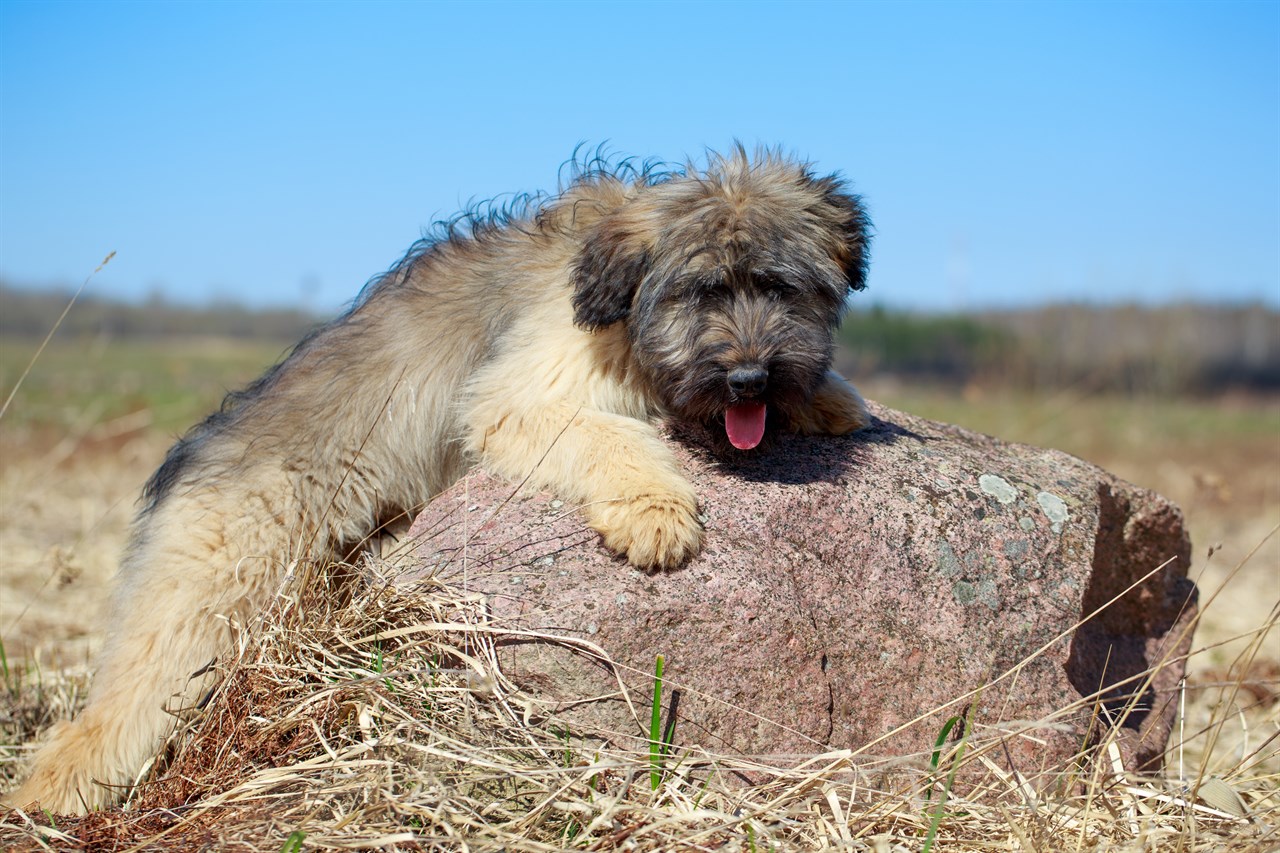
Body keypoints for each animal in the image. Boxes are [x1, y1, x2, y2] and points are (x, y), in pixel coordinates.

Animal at [5, 146, 875, 809]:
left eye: (781, 288)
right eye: (704, 291)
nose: (751, 379)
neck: (619, 299)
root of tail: (193, 458)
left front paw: (832, 398)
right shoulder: (519, 392)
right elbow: (603, 433)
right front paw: (655, 511)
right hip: (210, 602)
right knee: (113, 713)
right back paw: (56, 797)